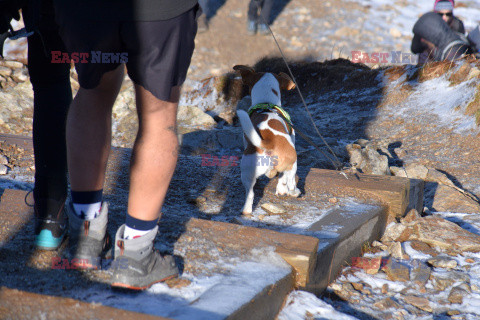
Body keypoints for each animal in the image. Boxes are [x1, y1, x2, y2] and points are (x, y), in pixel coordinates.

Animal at [235, 64, 302, 215]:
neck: (266, 103)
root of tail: (268, 142)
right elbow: (283, 179)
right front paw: (282, 189)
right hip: (292, 162)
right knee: (290, 182)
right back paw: (294, 192)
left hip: (247, 170)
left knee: (250, 194)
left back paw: (246, 211)